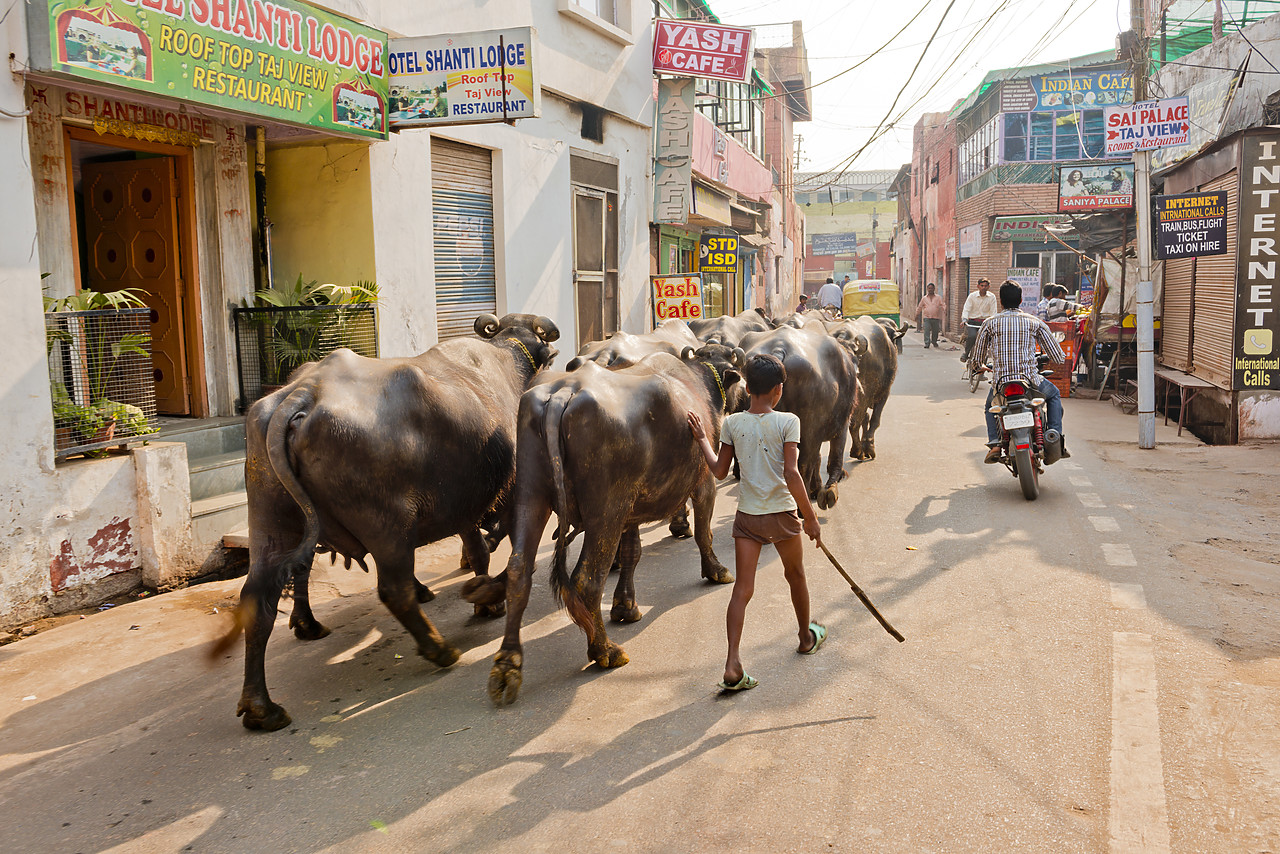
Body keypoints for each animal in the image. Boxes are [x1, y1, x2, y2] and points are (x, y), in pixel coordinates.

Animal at [221, 313, 560, 737]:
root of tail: (302, 395)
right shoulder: (507, 494)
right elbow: (505, 555)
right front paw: (487, 598)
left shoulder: (463, 505)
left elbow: (477, 549)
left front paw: (484, 597)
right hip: (387, 524)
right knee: (393, 590)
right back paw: (439, 649)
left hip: (271, 522)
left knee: (257, 600)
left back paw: (262, 706)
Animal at [478, 348, 742, 706]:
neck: (695, 386)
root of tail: (562, 393)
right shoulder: (703, 483)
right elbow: (704, 533)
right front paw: (717, 571)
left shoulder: (630, 512)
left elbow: (631, 554)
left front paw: (625, 606)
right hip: (606, 511)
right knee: (587, 580)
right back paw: (605, 650)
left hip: (532, 495)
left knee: (519, 570)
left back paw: (507, 665)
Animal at [737, 322, 855, 507]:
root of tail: (779, 347)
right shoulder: (842, 424)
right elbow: (834, 457)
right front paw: (828, 491)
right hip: (810, 429)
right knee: (804, 465)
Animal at [829, 317, 901, 460]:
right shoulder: (883, 393)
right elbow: (874, 420)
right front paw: (868, 447)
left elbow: (865, 419)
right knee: (855, 423)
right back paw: (858, 451)